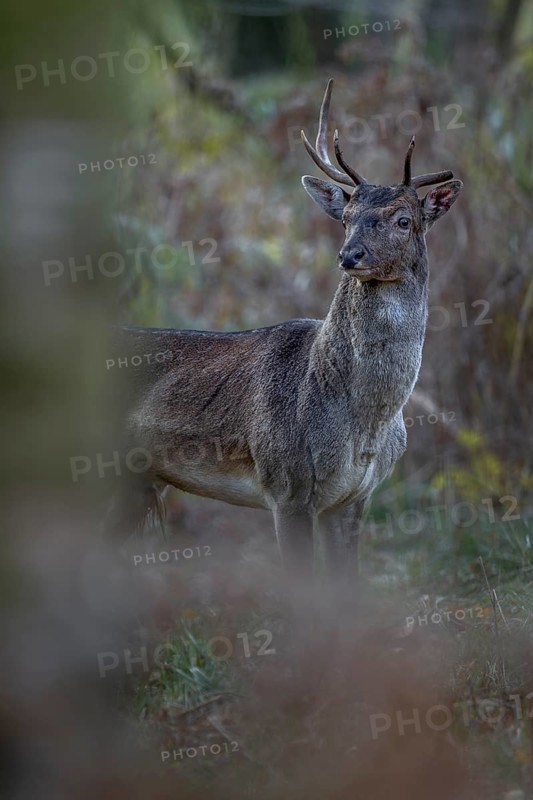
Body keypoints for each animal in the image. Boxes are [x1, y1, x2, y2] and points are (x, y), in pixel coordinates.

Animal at [107, 79, 462, 582]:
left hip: (132, 484)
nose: (350, 255)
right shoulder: (286, 483)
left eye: (403, 219)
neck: (365, 423)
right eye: (346, 217)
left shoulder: (355, 498)